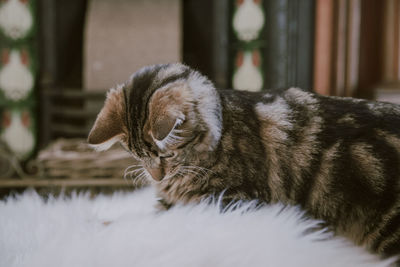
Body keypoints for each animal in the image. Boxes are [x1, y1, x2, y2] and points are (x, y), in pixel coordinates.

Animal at [89, 62, 400, 260]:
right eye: (137, 156)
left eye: (166, 155)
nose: (157, 176)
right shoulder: (172, 203)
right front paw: (100, 221)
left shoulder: (230, 200)